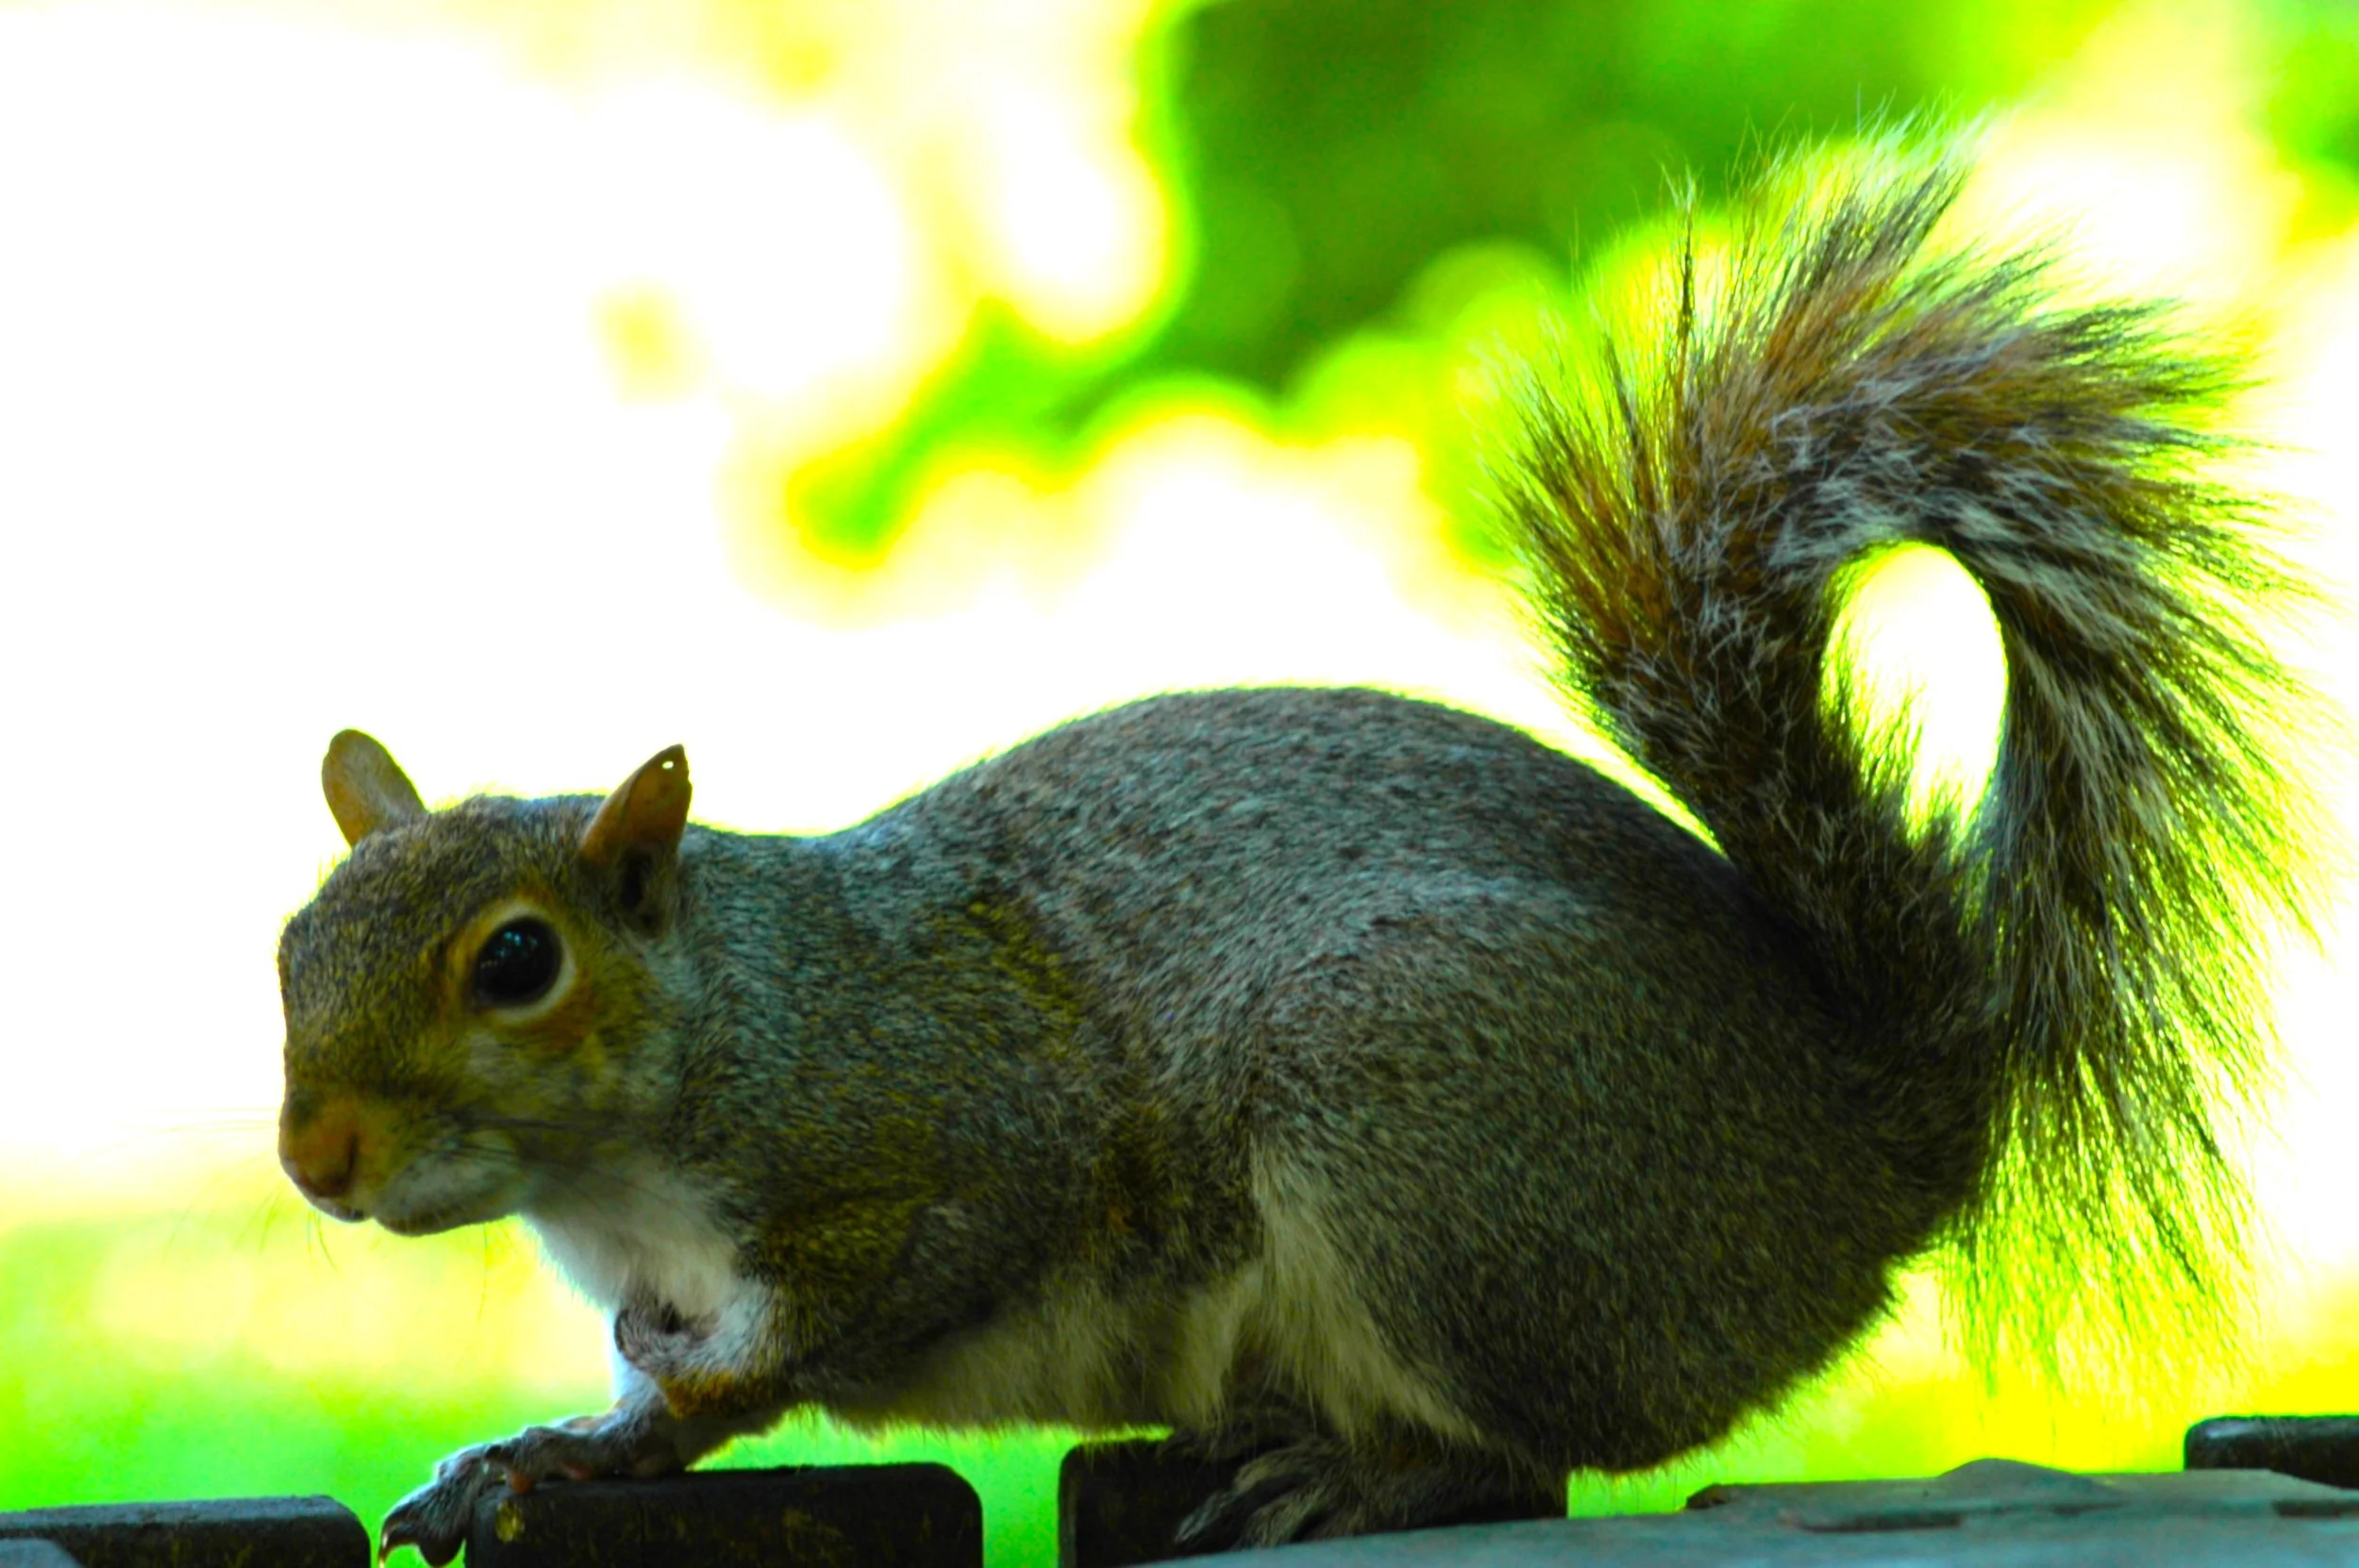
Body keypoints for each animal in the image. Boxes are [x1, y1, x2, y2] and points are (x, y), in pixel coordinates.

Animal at [276, 139, 2333, 1565]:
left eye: (519, 962)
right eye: (289, 948)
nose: (313, 1159)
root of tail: (1859, 1131)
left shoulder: (941, 1135)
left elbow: (809, 1333)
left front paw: (609, 1442)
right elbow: (646, 1370)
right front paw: (521, 1451)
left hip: (1418, 1128)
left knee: (1514, 1452)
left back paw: (1347, 1477)